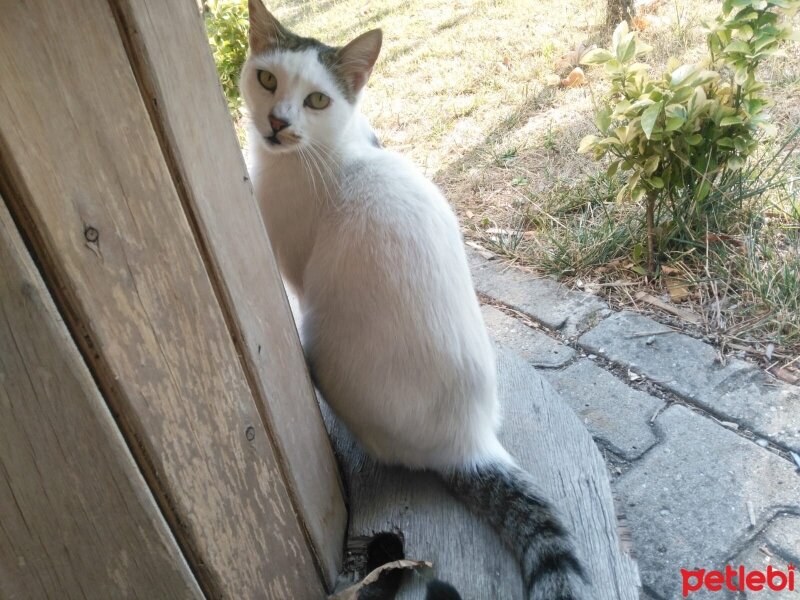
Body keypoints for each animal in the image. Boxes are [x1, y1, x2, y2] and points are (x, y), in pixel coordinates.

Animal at [241, 2, 584, 596]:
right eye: (267, 80)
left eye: (316, 100)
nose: (278, 122)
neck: (329, 151)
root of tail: (470, 441)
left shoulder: (293, 268)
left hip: (322, 340)